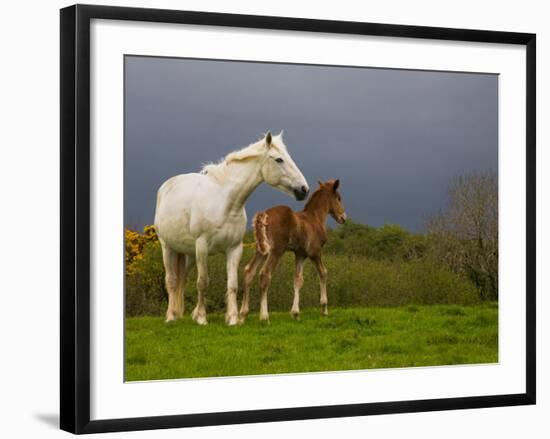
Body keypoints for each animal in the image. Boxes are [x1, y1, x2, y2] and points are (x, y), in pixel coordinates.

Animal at [155, 132, 310, 324]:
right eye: (279, 159)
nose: (304, 190)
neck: (225, 203)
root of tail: (166, 186)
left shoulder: (234, 248)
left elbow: (233, 284)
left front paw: (233, 319)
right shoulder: (202, 247)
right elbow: (202, 282)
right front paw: (202, 318)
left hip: (189, 253)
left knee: (181, 280)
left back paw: (181, 313)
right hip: (168, 247)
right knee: (171, 280)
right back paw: (170, 316)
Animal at [239, 180, 348, 324]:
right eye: (338, 198)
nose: (343, 217)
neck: (315, 218)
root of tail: (263, 215)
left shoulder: (300, 254)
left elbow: (298, 280)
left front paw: (295, 313)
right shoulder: (315, 252)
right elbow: (323, 273)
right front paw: (324, 308)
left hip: (261, 250)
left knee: (249, 272)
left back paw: (242, 315)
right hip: (276, 250)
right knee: (265, 274)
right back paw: (264, 317)